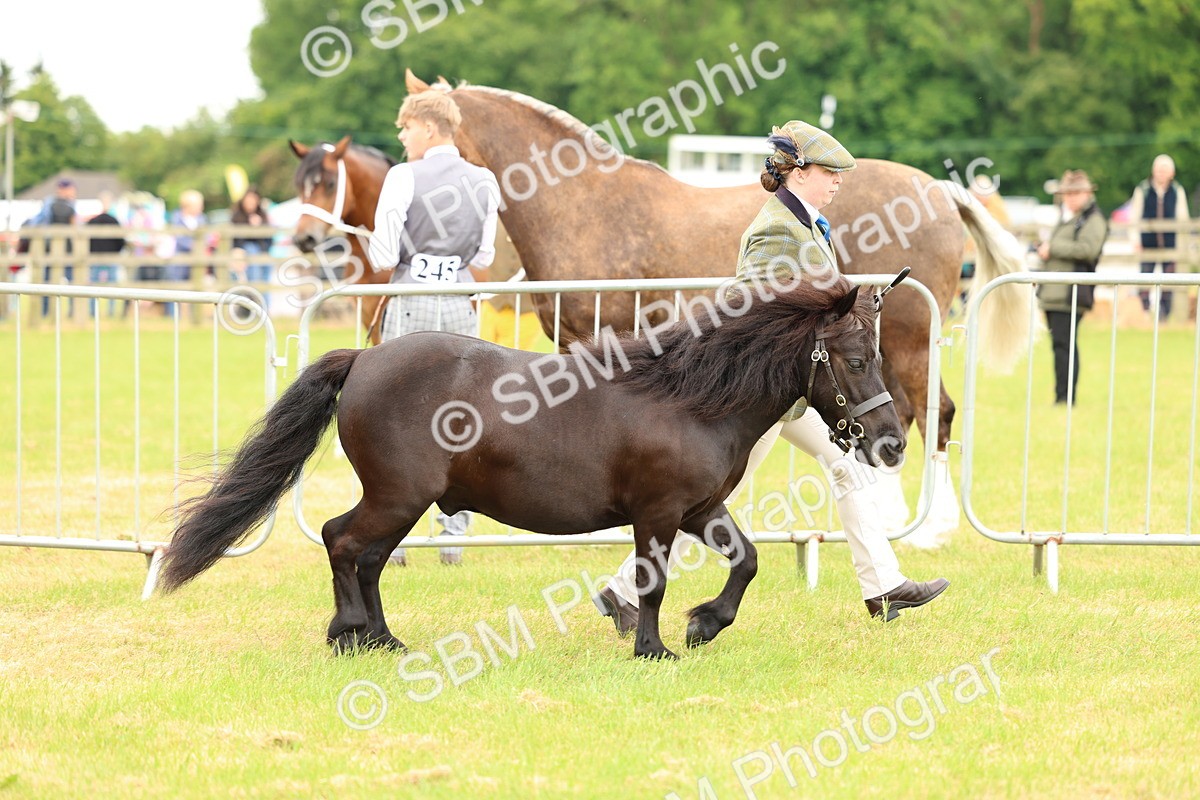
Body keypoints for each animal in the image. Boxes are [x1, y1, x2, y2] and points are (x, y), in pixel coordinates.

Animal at [159, 275, 905, 660]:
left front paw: (704, 625)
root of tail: (365, 358)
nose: (894, 444)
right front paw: (655, 647)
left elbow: (746, 561)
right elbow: (652, 585)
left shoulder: (700, 510)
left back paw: (382, 637)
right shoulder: (659, 515)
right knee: (342, 541)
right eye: (857, 360)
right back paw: (350, 635)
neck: (686, 398)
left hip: (403, 502)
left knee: (364, 556)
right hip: (398, 496)